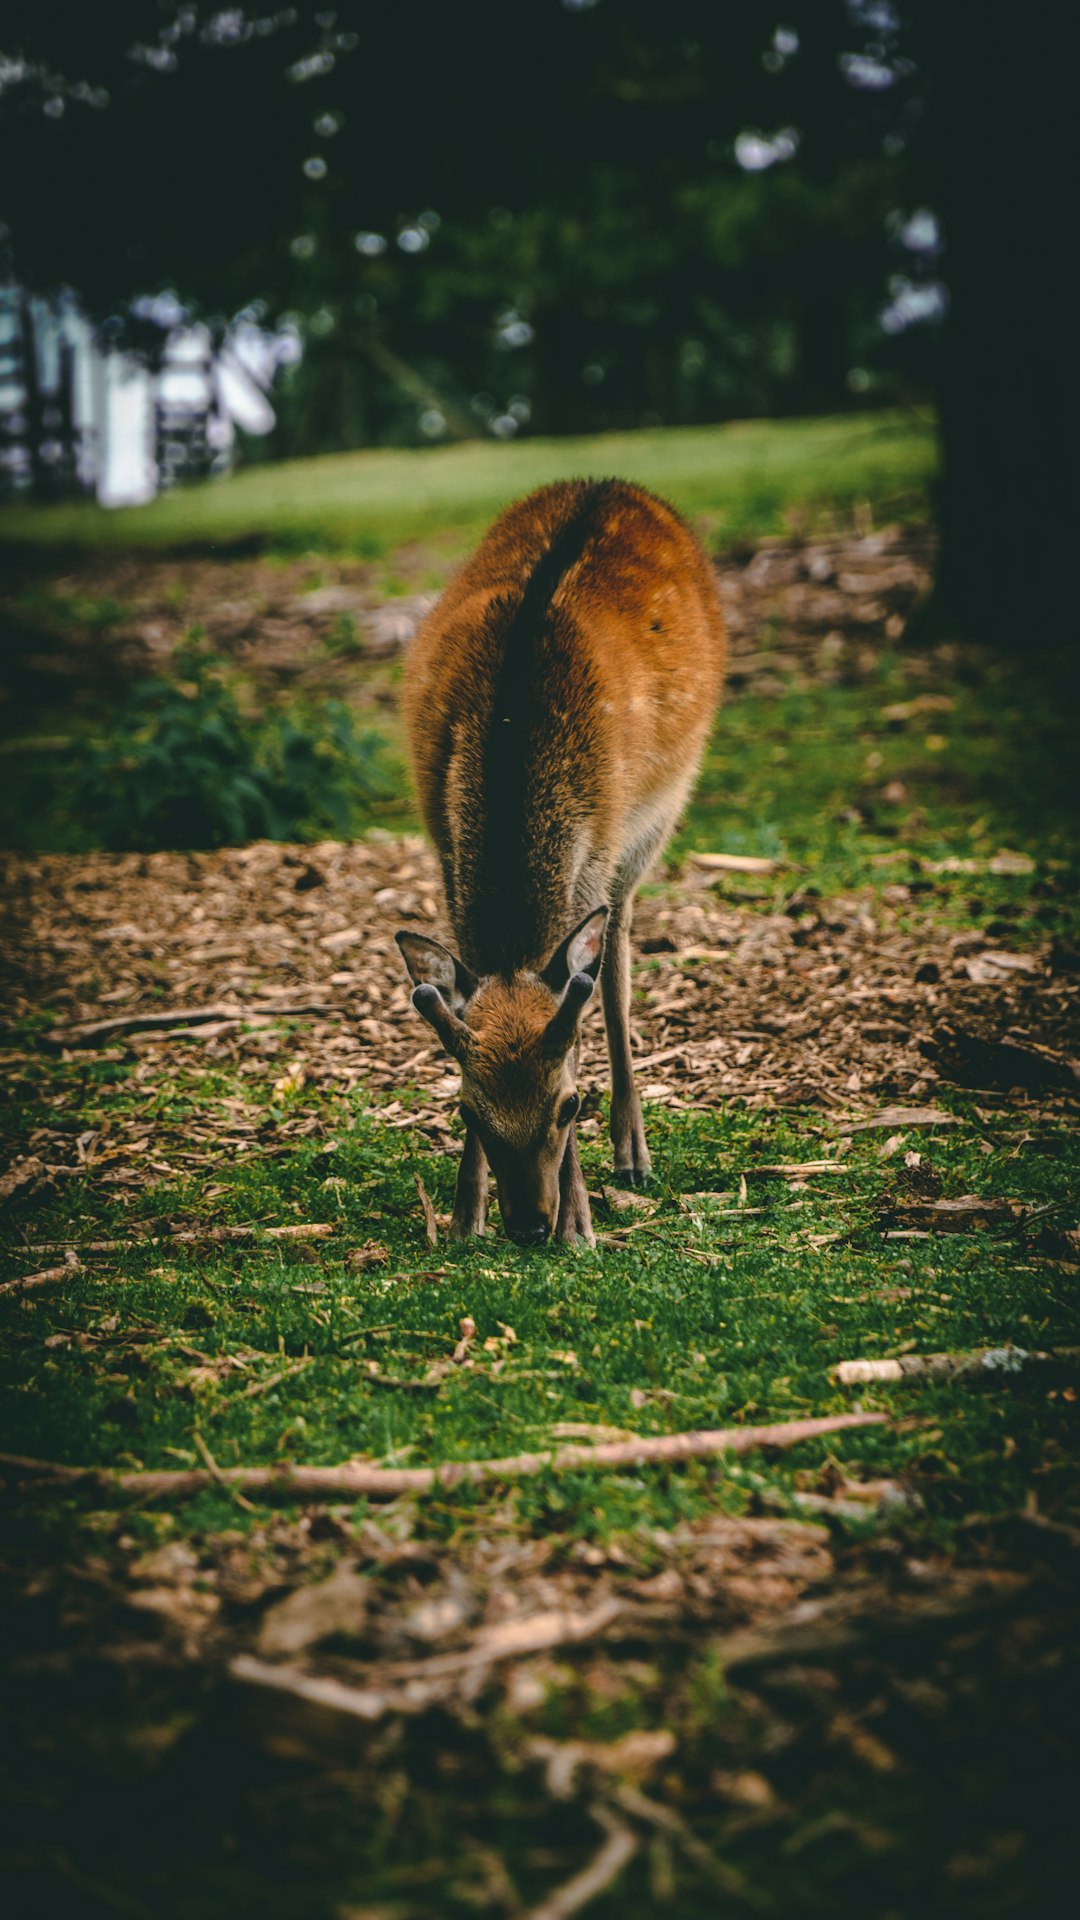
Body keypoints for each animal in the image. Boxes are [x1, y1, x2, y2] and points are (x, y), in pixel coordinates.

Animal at [393, 480, 722, 1244]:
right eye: (467, 1111)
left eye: (571, 1107)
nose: (528, 1226)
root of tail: (615, 483)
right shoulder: (441, 845)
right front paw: (464, 1217)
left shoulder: (600, 846)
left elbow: (583, 1008)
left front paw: (580, 1224)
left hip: (657, 819)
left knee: (619, 957)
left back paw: (633, 1153)